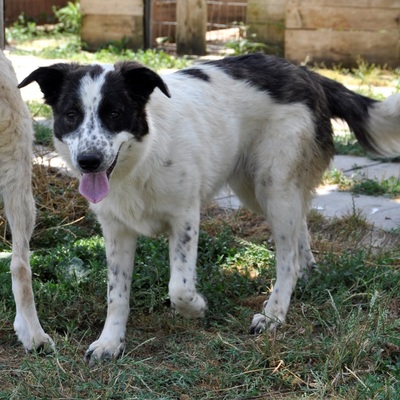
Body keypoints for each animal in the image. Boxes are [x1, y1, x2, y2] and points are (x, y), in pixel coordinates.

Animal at [18, 52, 400, 362]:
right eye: (71, 115)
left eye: (114, 113)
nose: (88, 161)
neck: (140, 160)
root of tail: (306, 73)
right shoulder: (116, 229)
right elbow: (117, 294)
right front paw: (110, 342)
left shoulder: (185, 217)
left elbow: (180, 287)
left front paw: (197, 308)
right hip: (257, 191)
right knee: (299, 226)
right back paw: (305, 271)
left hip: (272, 185)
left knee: (287, 257)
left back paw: (274, 312)